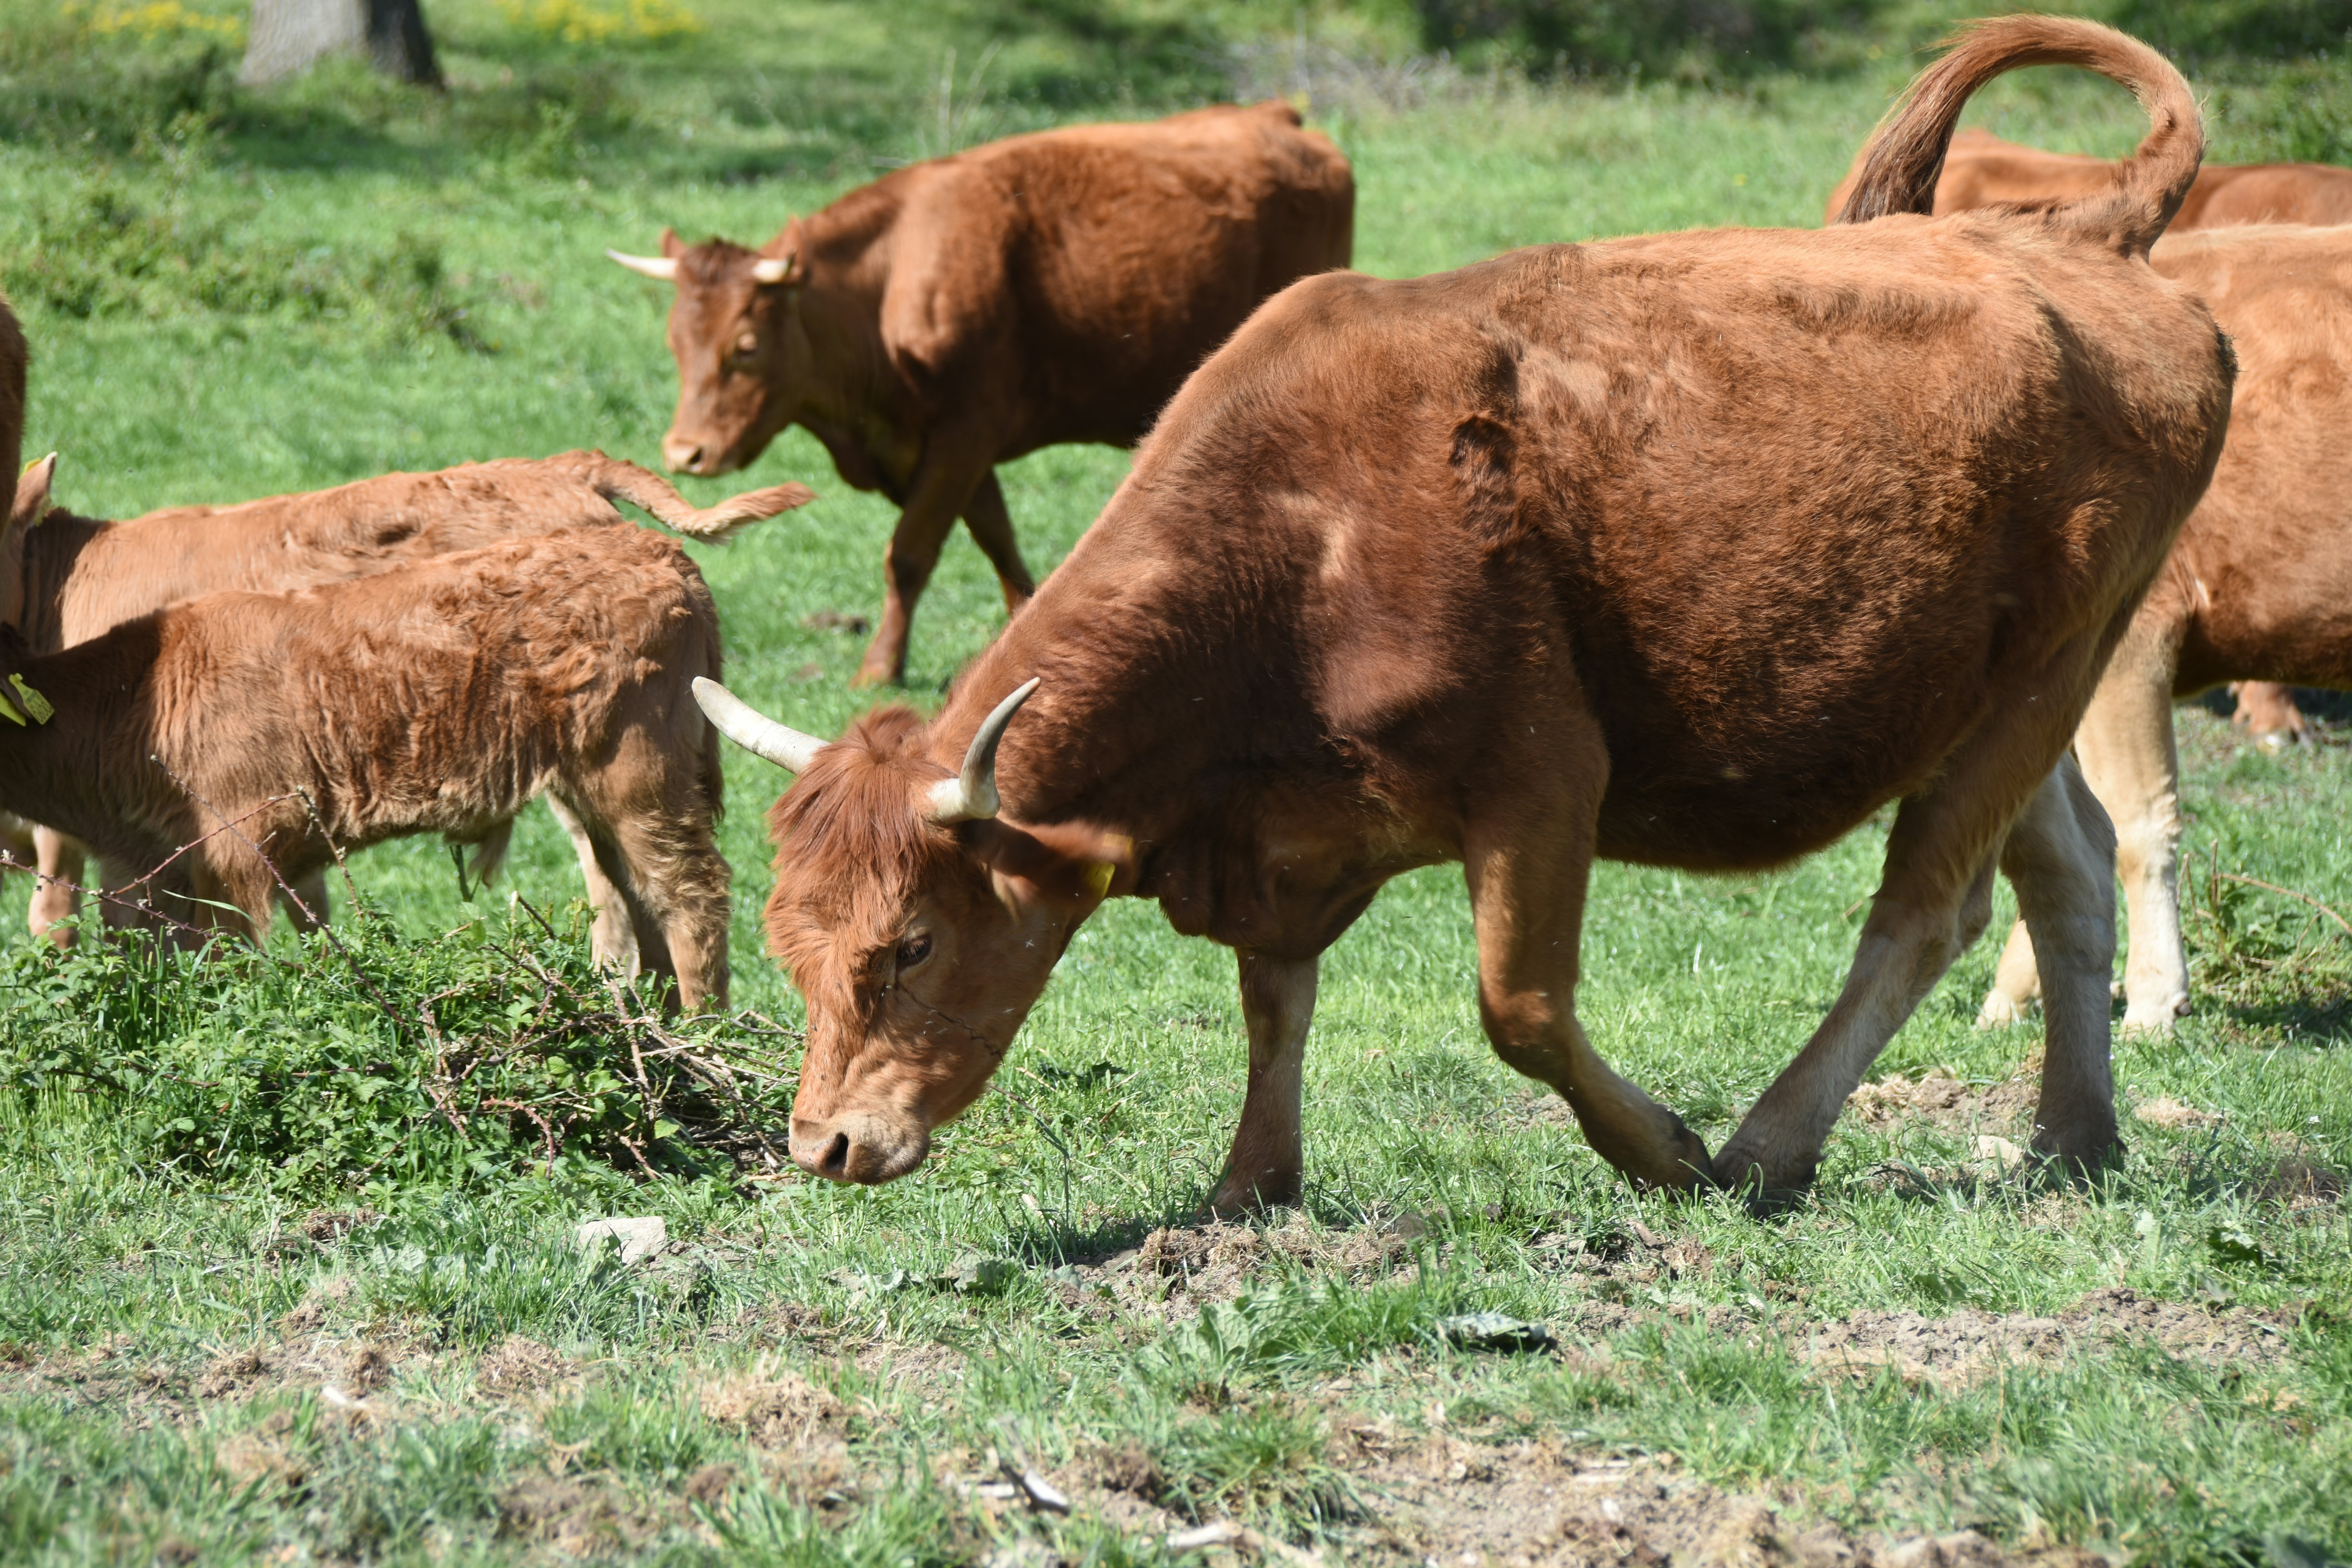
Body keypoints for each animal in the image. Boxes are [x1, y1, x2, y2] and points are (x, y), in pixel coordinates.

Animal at [609, 100, 1355, 689]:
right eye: (675, 344)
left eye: (746, 346)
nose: (686, 453)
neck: (887, 288)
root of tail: (1275, 115)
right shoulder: (954, 454)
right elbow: (997, 539)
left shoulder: (963, 437)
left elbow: (909, 554)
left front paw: (878, 670)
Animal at [690, 15, 2233, 1209]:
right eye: (788, 941)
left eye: (910, 945)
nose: (825, 1143)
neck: (1299, 533)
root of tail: (2073, 240)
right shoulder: (1284, 837)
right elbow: (1273, 1001)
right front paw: (1250, 1185)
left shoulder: (1541, 781)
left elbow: (1521, 1010)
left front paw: (1661, 1151)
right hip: (1990, 695)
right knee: (2065, 873)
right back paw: (2070, 1140)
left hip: (2035, 678)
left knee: (1925, 908)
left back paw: (1770, 1145)